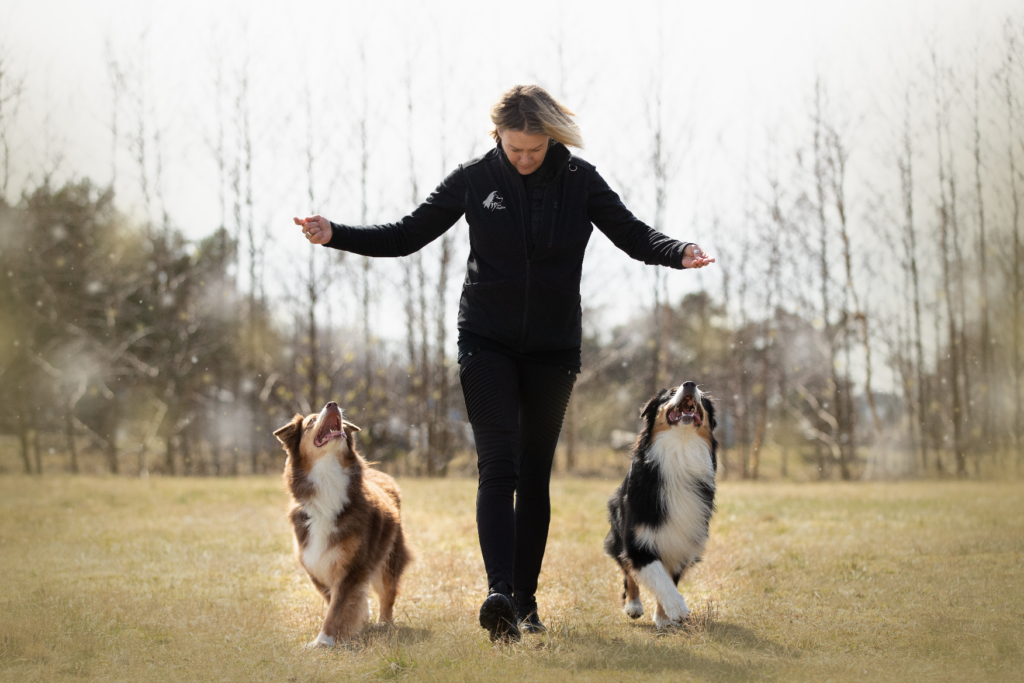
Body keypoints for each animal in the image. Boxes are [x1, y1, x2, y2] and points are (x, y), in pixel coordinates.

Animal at [276, 401, 415, 647]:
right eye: (311, 421)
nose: (332, 404)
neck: (327, 478)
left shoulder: (354, 564)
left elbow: (337, 607)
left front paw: (323, 641)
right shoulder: (315, 560)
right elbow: (337, 600)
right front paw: (350, 627)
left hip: (388, 556)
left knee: (388, 593)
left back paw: (383, 624)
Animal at [602, 378, 716, 630]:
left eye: (703, 398)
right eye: (671, 393)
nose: (690, 384)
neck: (680, 449)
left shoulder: (681, 539)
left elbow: (669, 577)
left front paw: (664, 618)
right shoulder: (637, 539)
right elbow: (657, 575)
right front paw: (677, 608)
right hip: (619, 531)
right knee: (627, 570)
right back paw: (633, 606)